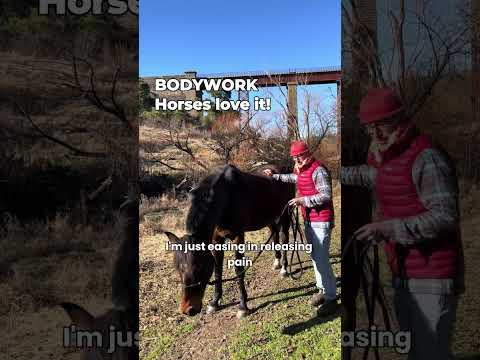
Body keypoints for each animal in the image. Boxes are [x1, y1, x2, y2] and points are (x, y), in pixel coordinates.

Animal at [165, 164, 294, 318]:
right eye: (177, 268)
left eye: (200, 266)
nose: (188, 310)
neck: (225, 197)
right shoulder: (216, 240)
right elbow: (217, 269)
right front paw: (214, 303)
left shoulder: (238, 237)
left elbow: (238, 268)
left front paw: (243, 306)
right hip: (270, 217)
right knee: (274, 234)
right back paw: (276, 262)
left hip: (285, 214)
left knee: (284, 237)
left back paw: (284, 269)